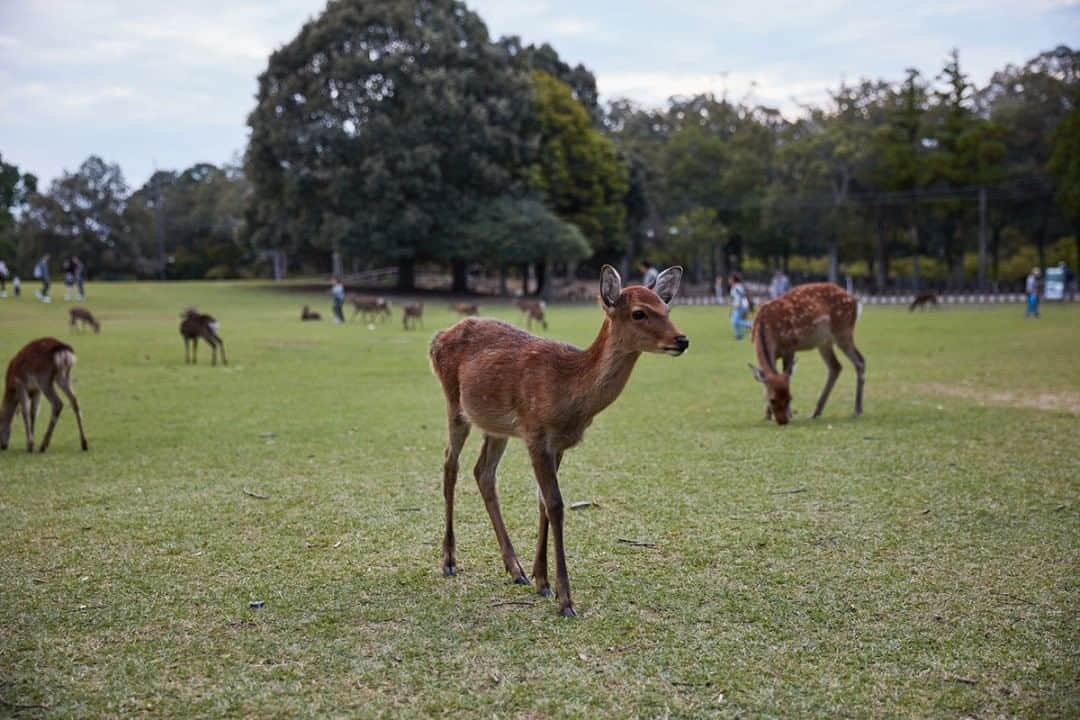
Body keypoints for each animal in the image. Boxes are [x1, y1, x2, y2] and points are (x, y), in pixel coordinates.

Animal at [427, 267, 686, 617]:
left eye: (666, 308)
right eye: (639, 312)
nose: (682, 340)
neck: (568, 390)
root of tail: (436, 339)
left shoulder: (558, 443)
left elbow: (541, 503)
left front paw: (541, 581)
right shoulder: (536, 434)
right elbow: (556, 505)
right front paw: (565, 599)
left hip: (495, 427)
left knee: (483, 472)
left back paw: (515, 569)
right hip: (455, 404)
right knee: (449, 464)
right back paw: (450, 561)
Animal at [747, 280, 864, 425]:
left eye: (790, 397)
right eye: (772, 399)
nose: (783, 421)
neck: (766, 326)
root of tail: (854, 300)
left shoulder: (790, 347)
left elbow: (788, 374)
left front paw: (790, 414)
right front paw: (767, 416)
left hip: (843, 330)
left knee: (859, 361)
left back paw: (857, 409)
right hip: (824, 342)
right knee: (836, 366)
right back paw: (816, 412)